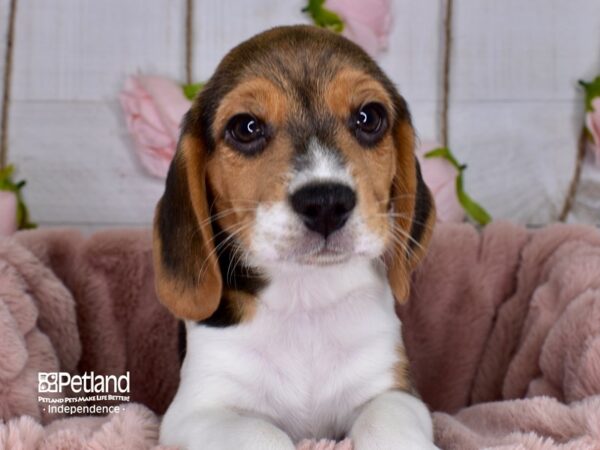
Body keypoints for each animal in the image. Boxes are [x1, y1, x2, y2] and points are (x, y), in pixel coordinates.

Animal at [155, 25, 436, 450]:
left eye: (369, 117)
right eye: (246, 127)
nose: (326, 203)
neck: (306, 297)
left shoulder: (395, 389)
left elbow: (386, 422)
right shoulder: (196, 411)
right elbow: (261, 433)